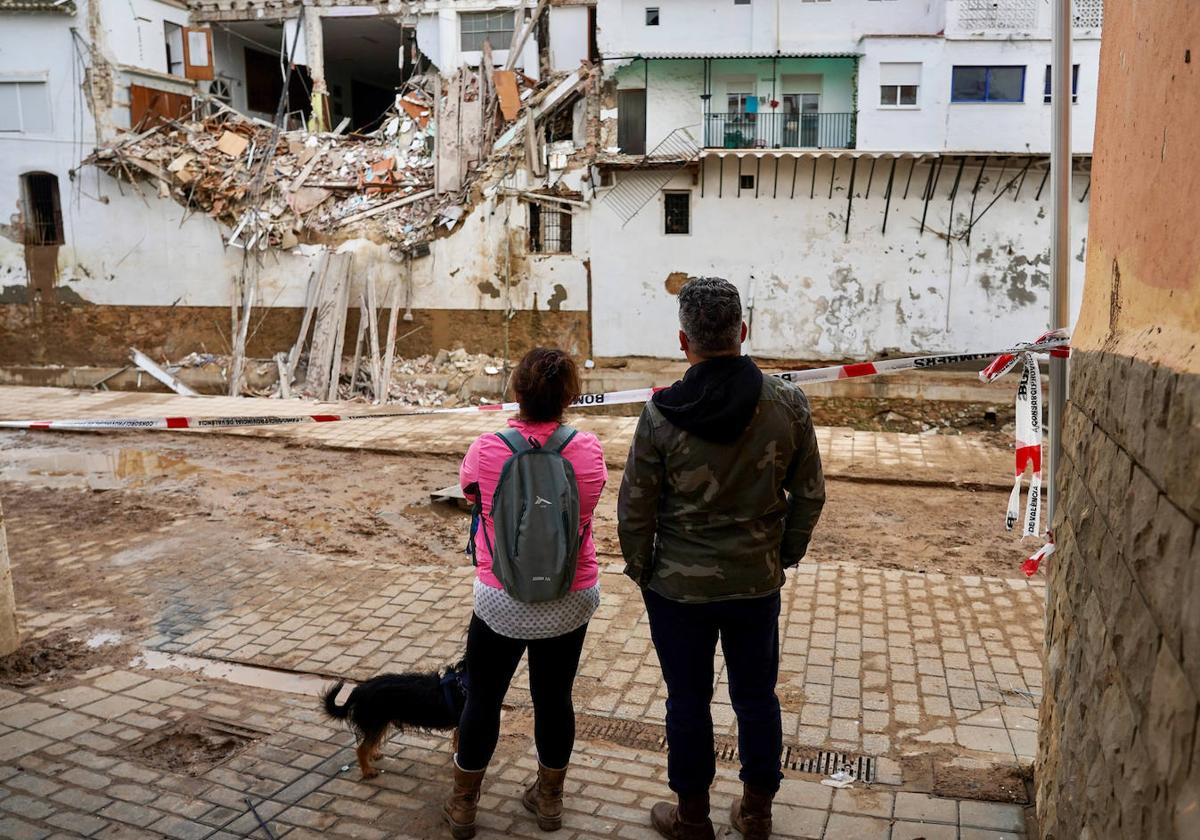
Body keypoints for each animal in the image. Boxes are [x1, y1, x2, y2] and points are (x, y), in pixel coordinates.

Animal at [321, 662, 465, 782]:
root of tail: (358, 690)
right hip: (376, 723)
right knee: (361, 749)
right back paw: (367, 771)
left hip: (380, 724)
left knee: (369, 744)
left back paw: (373, 754)